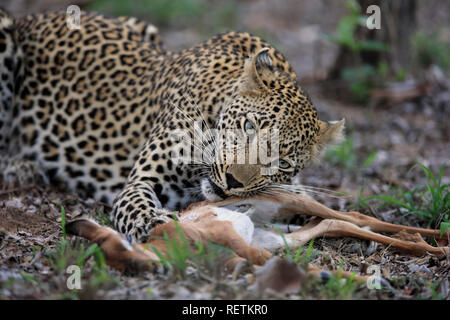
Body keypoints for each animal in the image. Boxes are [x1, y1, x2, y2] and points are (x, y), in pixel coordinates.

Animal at [0, 8, 344, 244]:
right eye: (249, 126)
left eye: (282, 162)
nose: (233, 181)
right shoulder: (142, 180)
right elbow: (136, 204)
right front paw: (151, 222)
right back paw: (21, 166)